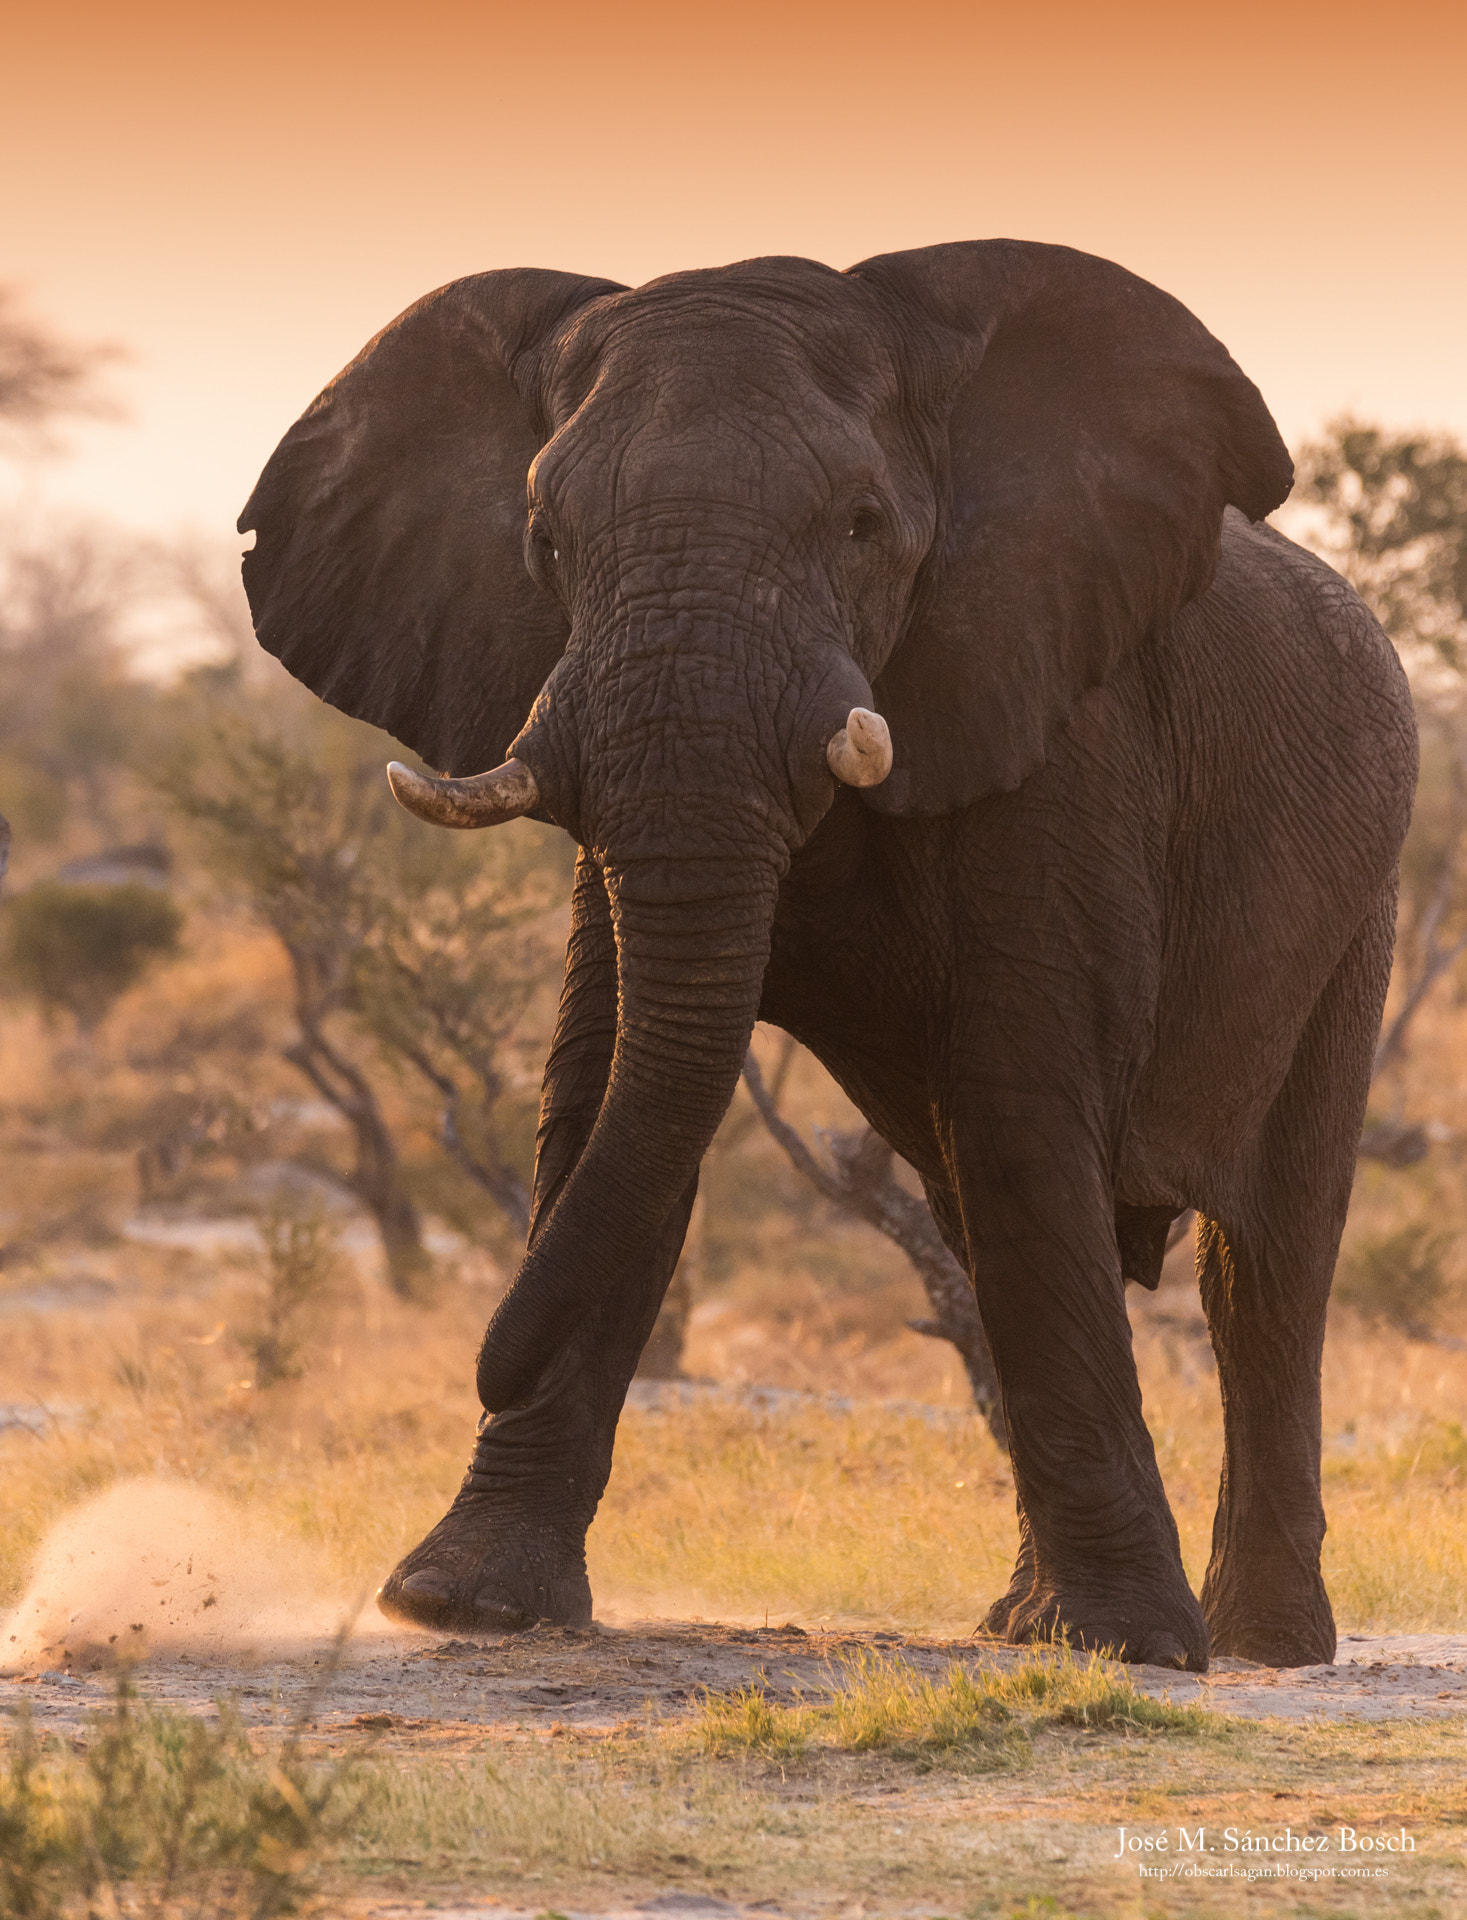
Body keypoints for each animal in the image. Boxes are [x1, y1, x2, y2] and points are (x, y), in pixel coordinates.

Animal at [239, 240, 1416, 1671]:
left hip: (1361, 910)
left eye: (861, 525)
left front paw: (1131, 1646)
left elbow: (1021, 1105)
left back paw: (1257, 1642)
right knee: (975, 1223)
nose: (480, 1356)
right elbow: (601, 1083)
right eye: (543, 542)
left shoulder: (1058, 719)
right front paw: (459, 1603)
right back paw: (1025, 1623)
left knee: (1266, 1265)